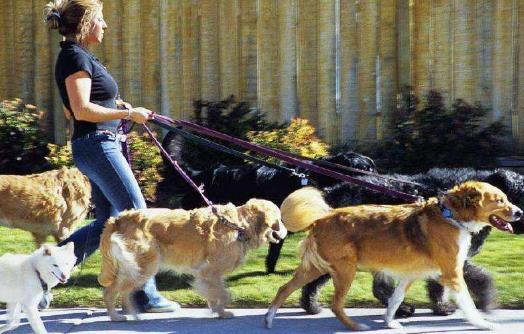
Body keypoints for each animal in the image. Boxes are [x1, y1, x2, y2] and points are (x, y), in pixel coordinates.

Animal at [98, 198, 286, 320]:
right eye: (280, 218)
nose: (286, 231)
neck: (239, 225)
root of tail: (119, 218)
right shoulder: (210, 272)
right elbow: (224, 294)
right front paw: (221, 312)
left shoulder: (209, 275)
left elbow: (216, 292)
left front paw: (216, 309)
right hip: (144, 267)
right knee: (115, 292)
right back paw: (119, 316)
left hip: (135, 268)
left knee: (117, 292)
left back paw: (127, 315)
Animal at [268, 181, 520, 330]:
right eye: (500, 200)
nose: (519, 213)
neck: (451, 216)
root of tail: (323, 217)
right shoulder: (453, 273)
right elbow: (467, 302)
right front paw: (483, 322)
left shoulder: (410, 275)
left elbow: (395, 298)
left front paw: (390, 321)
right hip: (345, 271)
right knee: (335, 305)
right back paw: (355, 327)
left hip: (315, 268)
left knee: (284, 288)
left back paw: (269, 319)